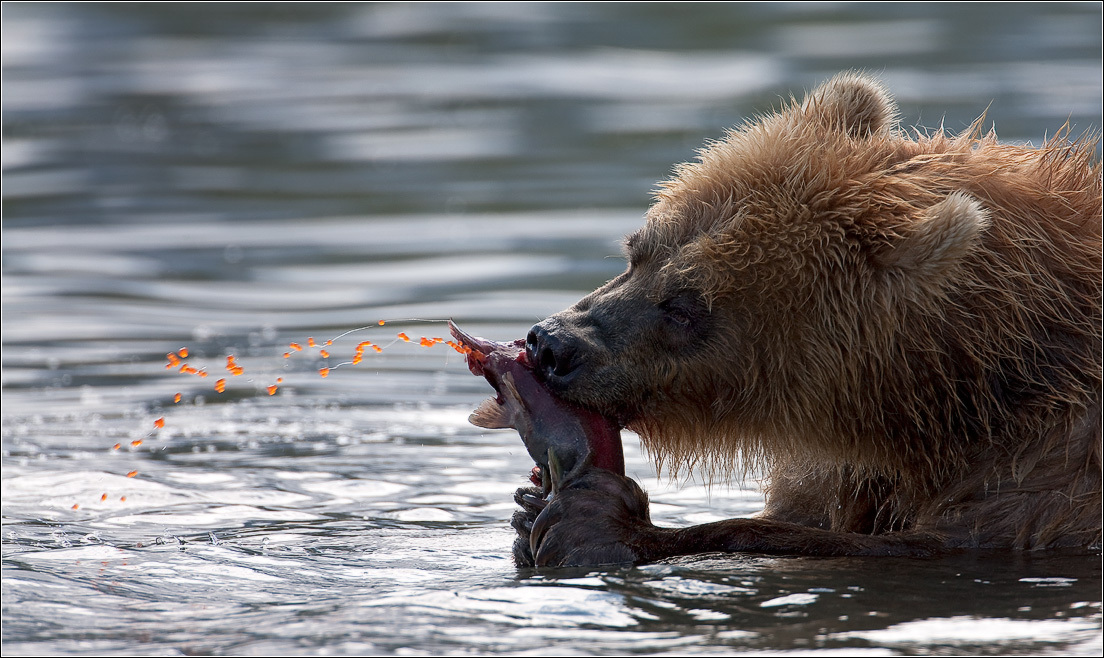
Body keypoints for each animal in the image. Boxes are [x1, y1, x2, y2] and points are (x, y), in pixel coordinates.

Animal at [487, 70, 1099, 565]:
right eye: (637, 252)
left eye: (685, 306)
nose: (551, 344)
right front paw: (530, 505)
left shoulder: (1050, 467)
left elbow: (926, 541)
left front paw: (597, 522)